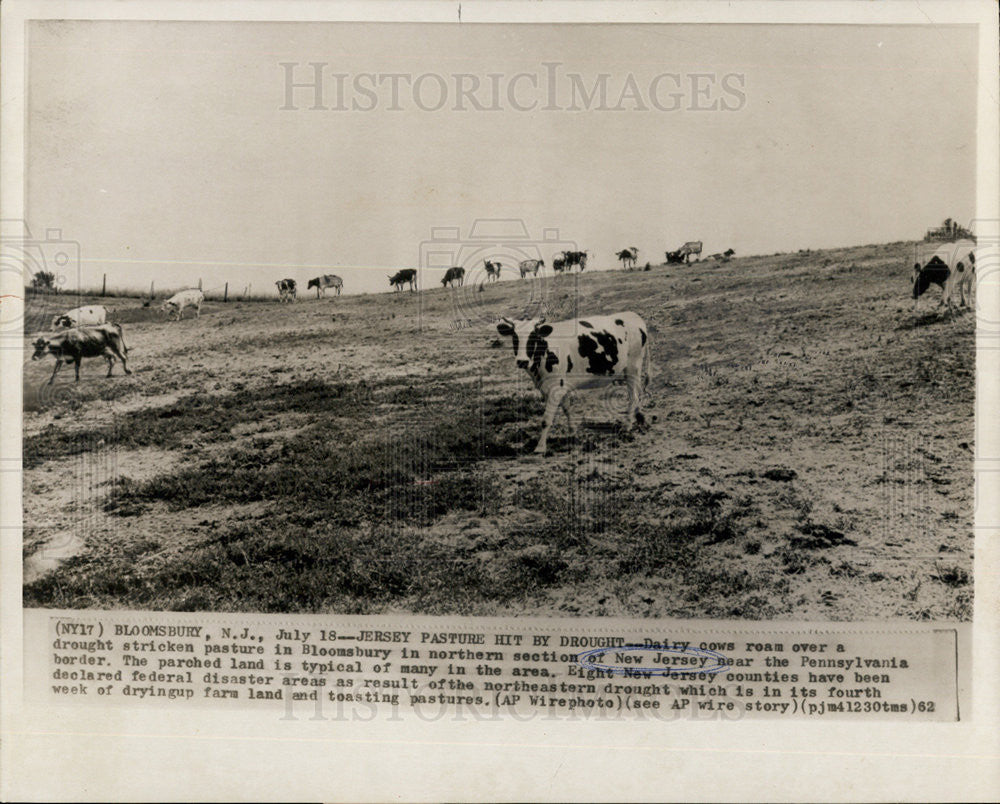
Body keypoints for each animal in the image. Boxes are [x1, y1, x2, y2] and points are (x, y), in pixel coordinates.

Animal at [496, 312, 652, 456]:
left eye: (534, 336)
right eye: (514, 336)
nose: (522, 361)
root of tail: (633, 315)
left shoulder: (555, 388)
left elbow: (546, 420)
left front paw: (540, 447)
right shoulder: (555, 386)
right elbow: (567, 409)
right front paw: (572, 432)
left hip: (633, 367)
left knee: (633, 396)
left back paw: (627, 426)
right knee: (638, 392)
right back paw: (640, 417)